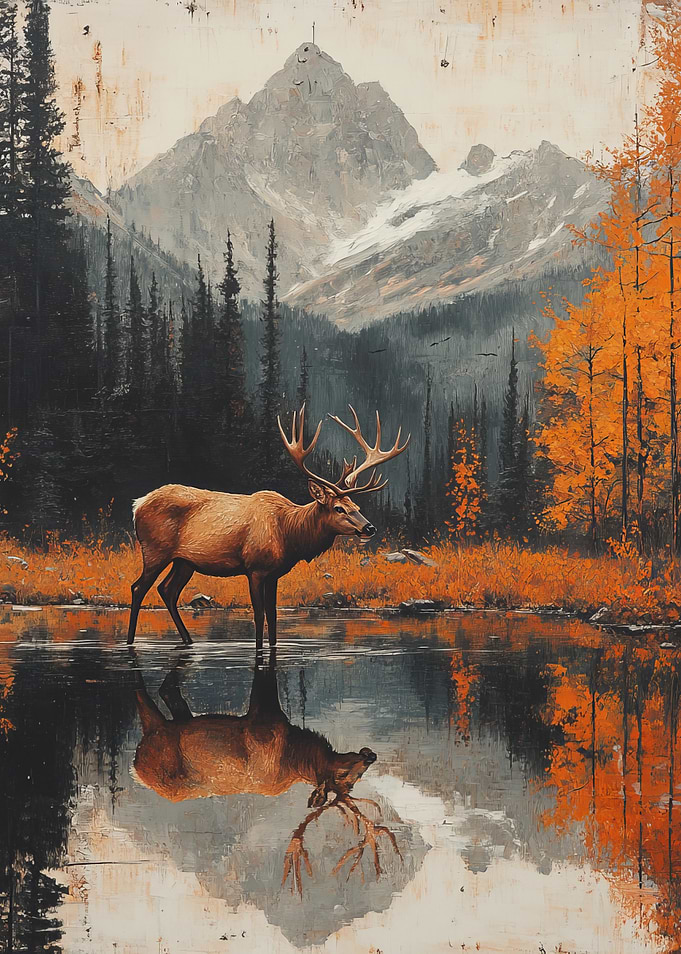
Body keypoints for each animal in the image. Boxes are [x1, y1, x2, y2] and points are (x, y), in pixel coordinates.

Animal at [126, 404, 410, 647]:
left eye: (357, 507)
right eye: (338, 508)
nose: (369, 528)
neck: (290, 534)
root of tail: (137, 505)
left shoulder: (274, 573)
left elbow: (273, 616)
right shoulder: (255, 568)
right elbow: (259, 614)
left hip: (185, 561)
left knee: (168, 590)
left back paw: (188, 641)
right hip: (155, 551)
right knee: (139, 588)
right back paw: (130, 642)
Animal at [131, 652, 400, 894]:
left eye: (356, 781)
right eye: (344, 775)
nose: (370, 755)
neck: (295, 752)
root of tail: (137, 768)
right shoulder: (261, 713)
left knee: (166, 691)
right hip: (157, 730)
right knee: (145, 693)